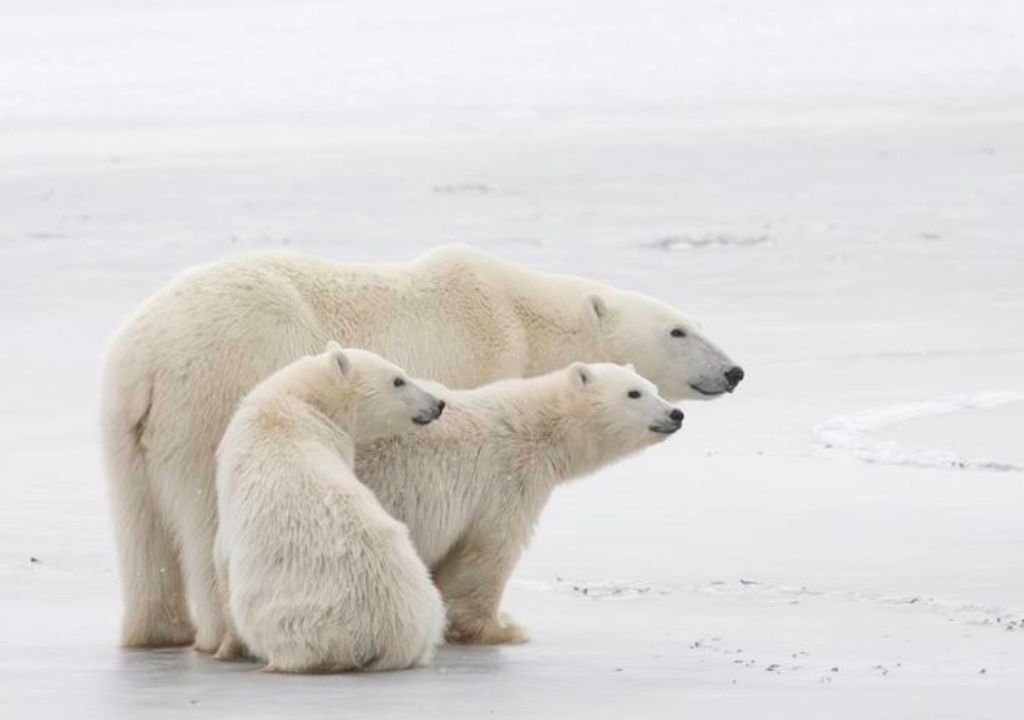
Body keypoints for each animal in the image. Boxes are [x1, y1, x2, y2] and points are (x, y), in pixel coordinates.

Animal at [211, 346, 444, 671]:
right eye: (399, 379)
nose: (438, 404)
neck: (298, 402)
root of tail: (385, 632)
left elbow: (221, 560)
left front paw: (225, 649)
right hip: (424, 601)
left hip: (295, 613)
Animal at [356, 362, 684, 643]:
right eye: (633, 392)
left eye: (653, 387)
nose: (676, 414)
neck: (540, 426)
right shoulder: (508, 476)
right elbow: (491, 548)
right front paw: (502, 628)